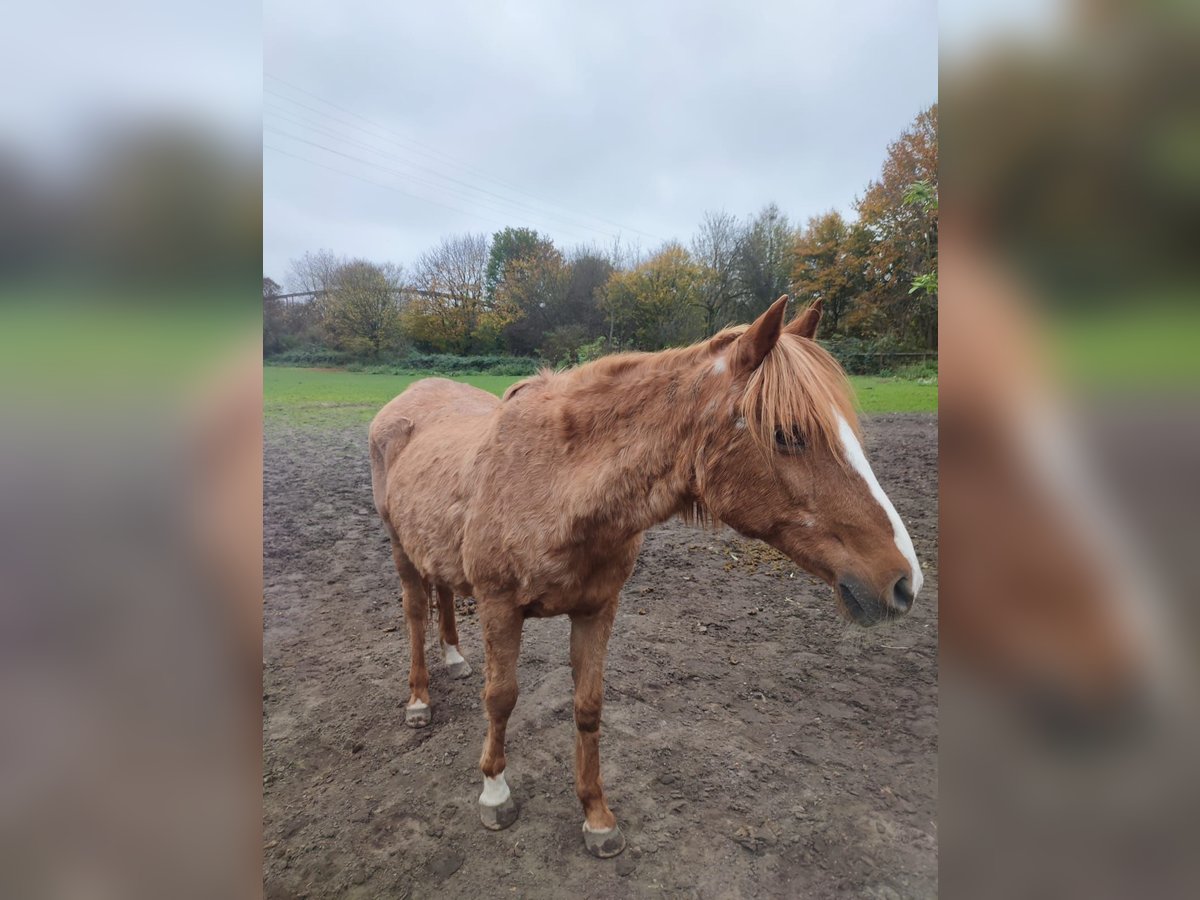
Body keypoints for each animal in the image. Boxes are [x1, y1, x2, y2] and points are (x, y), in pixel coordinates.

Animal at [369, 296, 921, 859]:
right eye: (789, 434)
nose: (905, 582)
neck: (554, 482)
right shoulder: (499, 605)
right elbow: (500, 698)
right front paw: (495, 793)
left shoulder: (598, 608)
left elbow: (588, 706)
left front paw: (596, 817)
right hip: (400, 550)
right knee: (415, 613)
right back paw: (419, 701)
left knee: (441, 592)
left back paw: (454, 657)